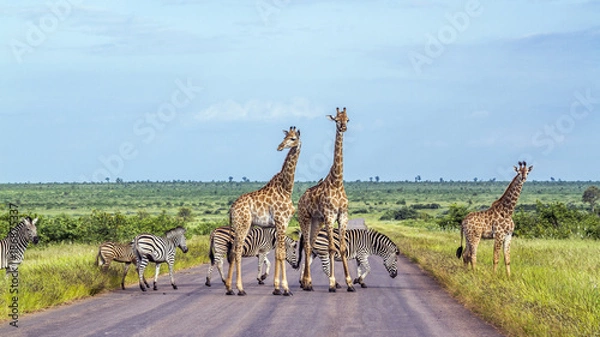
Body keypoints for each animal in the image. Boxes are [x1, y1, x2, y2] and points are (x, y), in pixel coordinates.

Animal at [224, 125, 300, 294]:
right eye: (285, 137)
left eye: (293, 138)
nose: (280, 147)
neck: (286, 188)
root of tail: (232, 209)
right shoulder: (282, 221)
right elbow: (281, 253)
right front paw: (285, 288)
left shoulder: (280, 224)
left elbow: (278, 253)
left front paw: (277, 287)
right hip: (243, 225)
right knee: (237, 252)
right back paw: (240, 289)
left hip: (239, 226)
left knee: (232, 252)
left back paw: (229, 288)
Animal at [296, 107, 354, 292]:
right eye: (336, 119)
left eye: (347, 119)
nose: (343, 127)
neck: (337, 181)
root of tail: (300, 199)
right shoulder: (329, 216)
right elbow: (331, 248)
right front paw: (332, 284)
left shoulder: (342, 216)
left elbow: (342, 248)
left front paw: (350, 283)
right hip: (305, 218)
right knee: (307, 246)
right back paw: (307, 282)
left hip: (317, 221)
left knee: (310, 244)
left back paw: (307, 282)